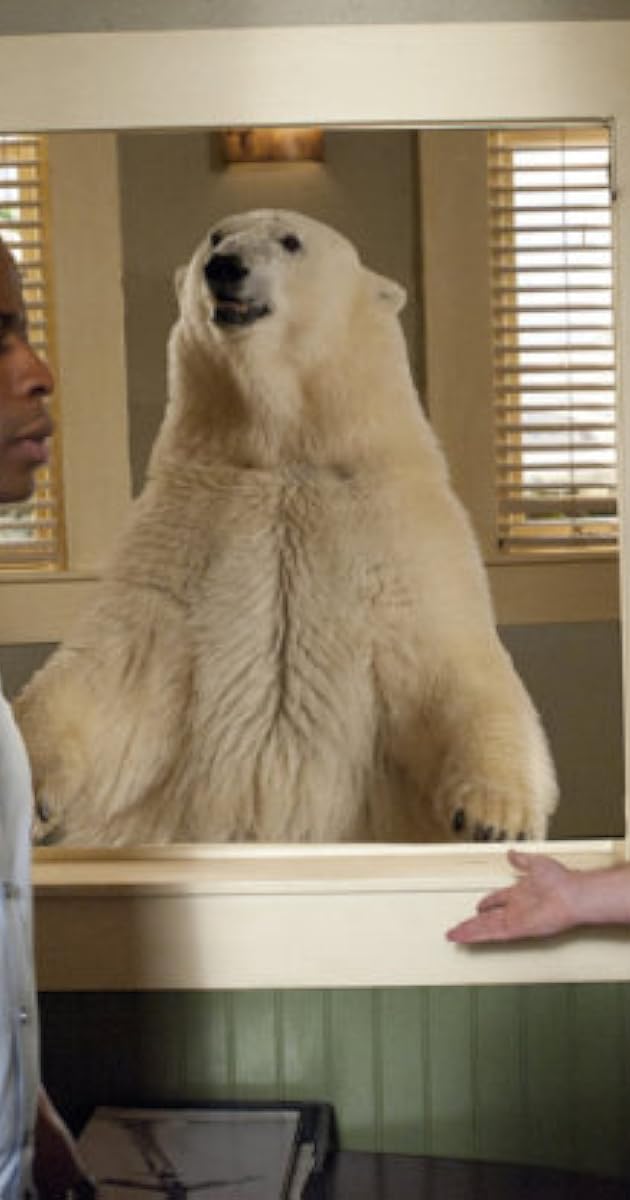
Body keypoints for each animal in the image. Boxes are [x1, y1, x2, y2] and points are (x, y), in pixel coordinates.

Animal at [15, 208, 558, 846]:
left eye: (290, 240)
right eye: (215, 236)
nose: (224, 267)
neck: (284, 453)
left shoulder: (399, 530)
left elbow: (450, 663)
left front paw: (495, 817)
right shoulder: (185, 524)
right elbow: (118, 663)